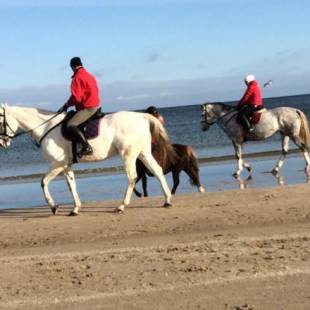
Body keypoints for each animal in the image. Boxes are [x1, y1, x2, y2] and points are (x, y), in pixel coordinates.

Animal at [0, 105, 177, 214]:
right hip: (143, 153)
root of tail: (141, 116)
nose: (2, 143)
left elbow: (43, 182)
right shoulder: (66, 165)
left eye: (0, 121)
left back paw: (121, 206)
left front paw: (53, 206)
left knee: (132, 177)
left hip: (128, 154)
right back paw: (167, 200)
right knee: (158, 171)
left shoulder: (57, 164)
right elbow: (71, 185)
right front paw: (75, 209)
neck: (46, 127)